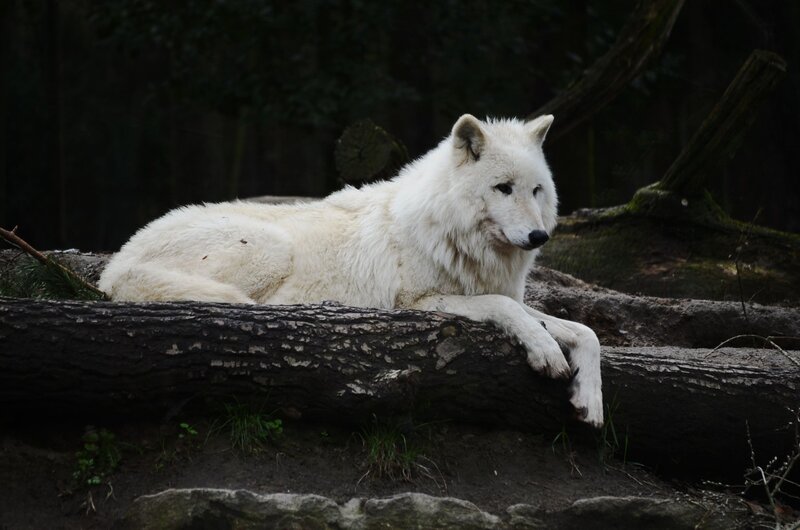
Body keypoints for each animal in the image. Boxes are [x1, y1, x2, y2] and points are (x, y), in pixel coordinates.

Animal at [99, 114, 603, 427]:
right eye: (502, 188)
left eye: (536, 190)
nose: (538, 237)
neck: (453, 236)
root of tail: (115, 265)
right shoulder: (419, 302)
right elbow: (508, 309)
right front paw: (546, 353)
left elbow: (586, 331)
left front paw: (590, 399)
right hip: (271, 249)